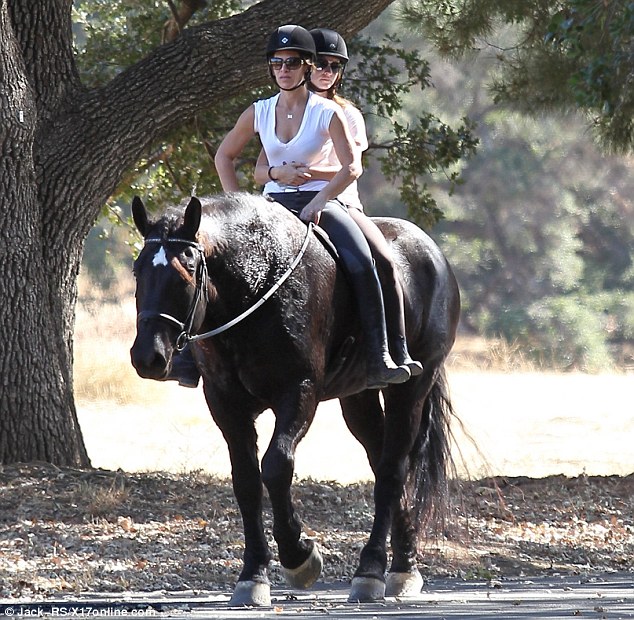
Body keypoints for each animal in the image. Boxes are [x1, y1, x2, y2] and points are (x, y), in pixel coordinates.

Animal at [130, 193, 460, 604]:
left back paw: (371, 571)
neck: (256, 282)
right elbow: (246, 481)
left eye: (185, 272)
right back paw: (403, 566)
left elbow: (276, 466)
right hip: (359, 399)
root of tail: (433, 253)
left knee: (392, 470)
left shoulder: (300, 391)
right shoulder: (225, 403)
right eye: (137, 271)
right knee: (381, 459)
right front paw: (253, 575)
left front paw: (299, 557)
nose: (148, 357)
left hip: (411, 388)